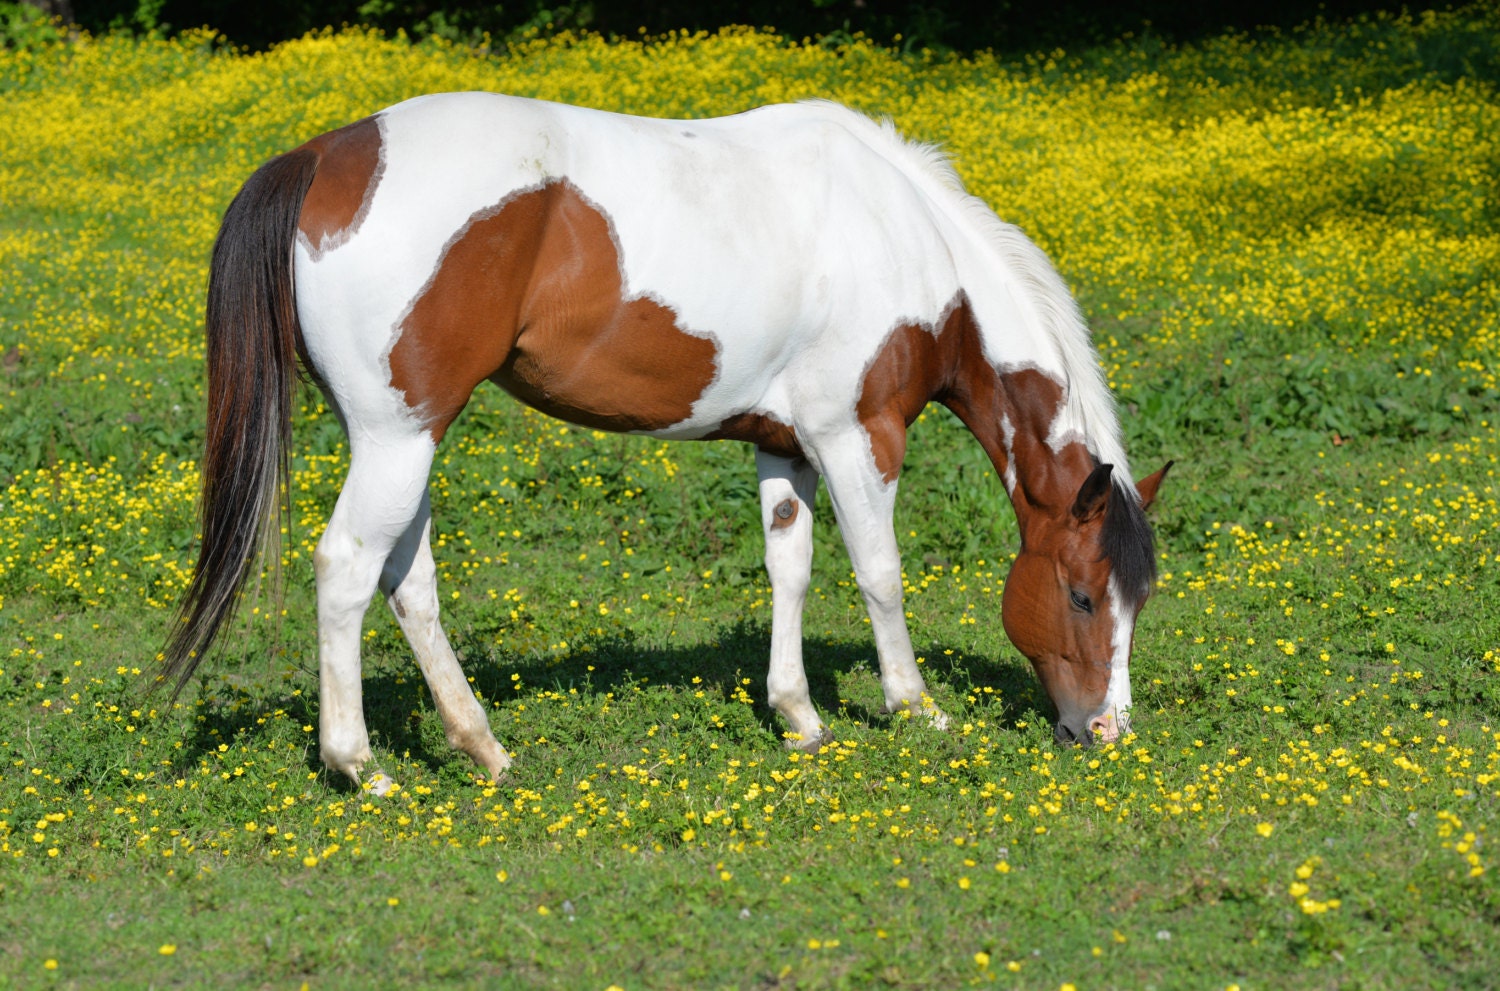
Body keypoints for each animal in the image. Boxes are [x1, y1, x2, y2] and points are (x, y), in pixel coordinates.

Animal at [163, 92, 1170, 790]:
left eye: (1138, 600)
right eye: (1081, 595)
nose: (1106, 730)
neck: (907, 239)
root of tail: (326, 155)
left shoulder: (784, 446)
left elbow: (791, 567)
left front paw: (799, 714)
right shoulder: (857, 435)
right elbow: (880, 572)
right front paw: (915, 707)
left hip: (402, 440)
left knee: (407, 583)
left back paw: (484, 746)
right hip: (396, 438)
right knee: (345, 569)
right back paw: (360, 764)